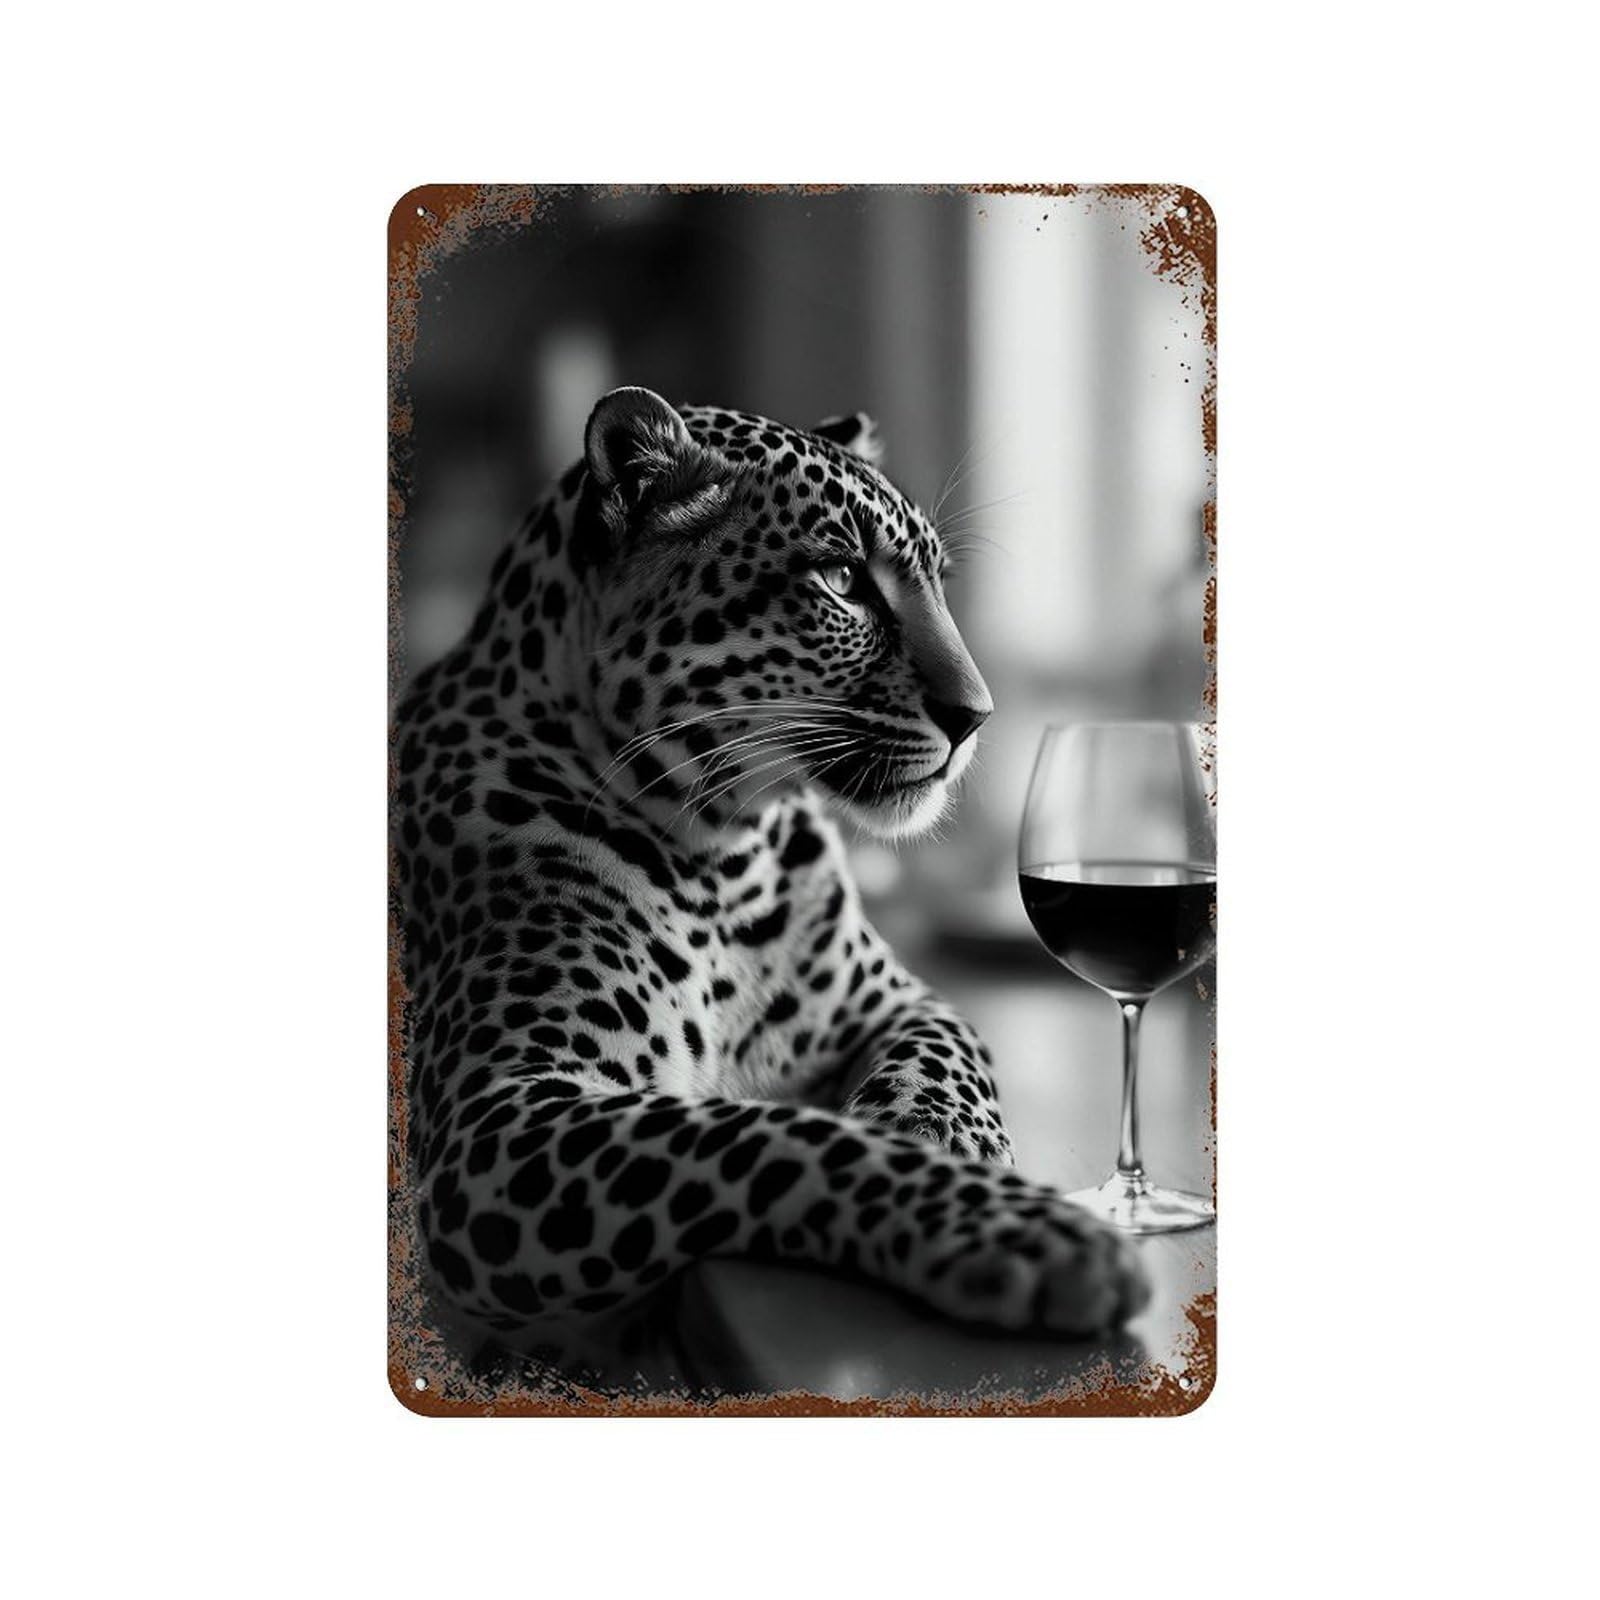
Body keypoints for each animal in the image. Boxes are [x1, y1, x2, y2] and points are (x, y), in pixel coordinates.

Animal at [392, 386, 1150, 1363]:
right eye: (842, 580)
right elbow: (773, 1134)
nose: (978, 716)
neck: (726, 861)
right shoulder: (492, 1124)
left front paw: (942, 1133)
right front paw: (1023, 1229)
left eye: (938, 581)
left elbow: (953, 1058)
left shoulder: (901, 999)